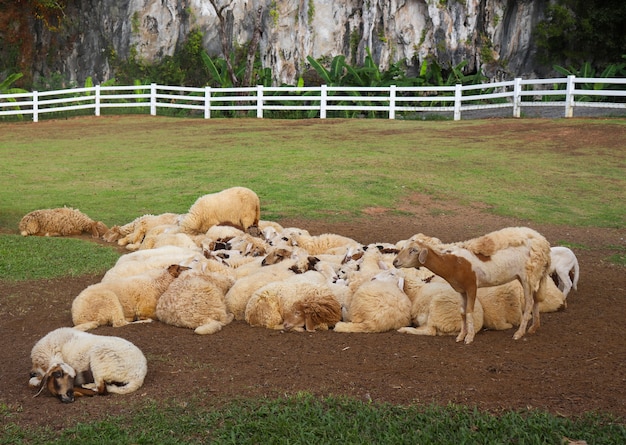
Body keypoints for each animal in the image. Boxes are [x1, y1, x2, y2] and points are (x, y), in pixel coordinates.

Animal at [394, 225, 552, 344]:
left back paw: (519, 333)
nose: (395, 262)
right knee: (536, 299)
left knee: (529, 303)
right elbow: (462, 312)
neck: (452, 263)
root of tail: (543, 243)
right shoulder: (461, 289)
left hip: (528, 276)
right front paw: (460, 336)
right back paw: (534, 328)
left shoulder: (471, 286)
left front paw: (469, 337)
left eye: (413, 250)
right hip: (532, 276)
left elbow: (469, 311)